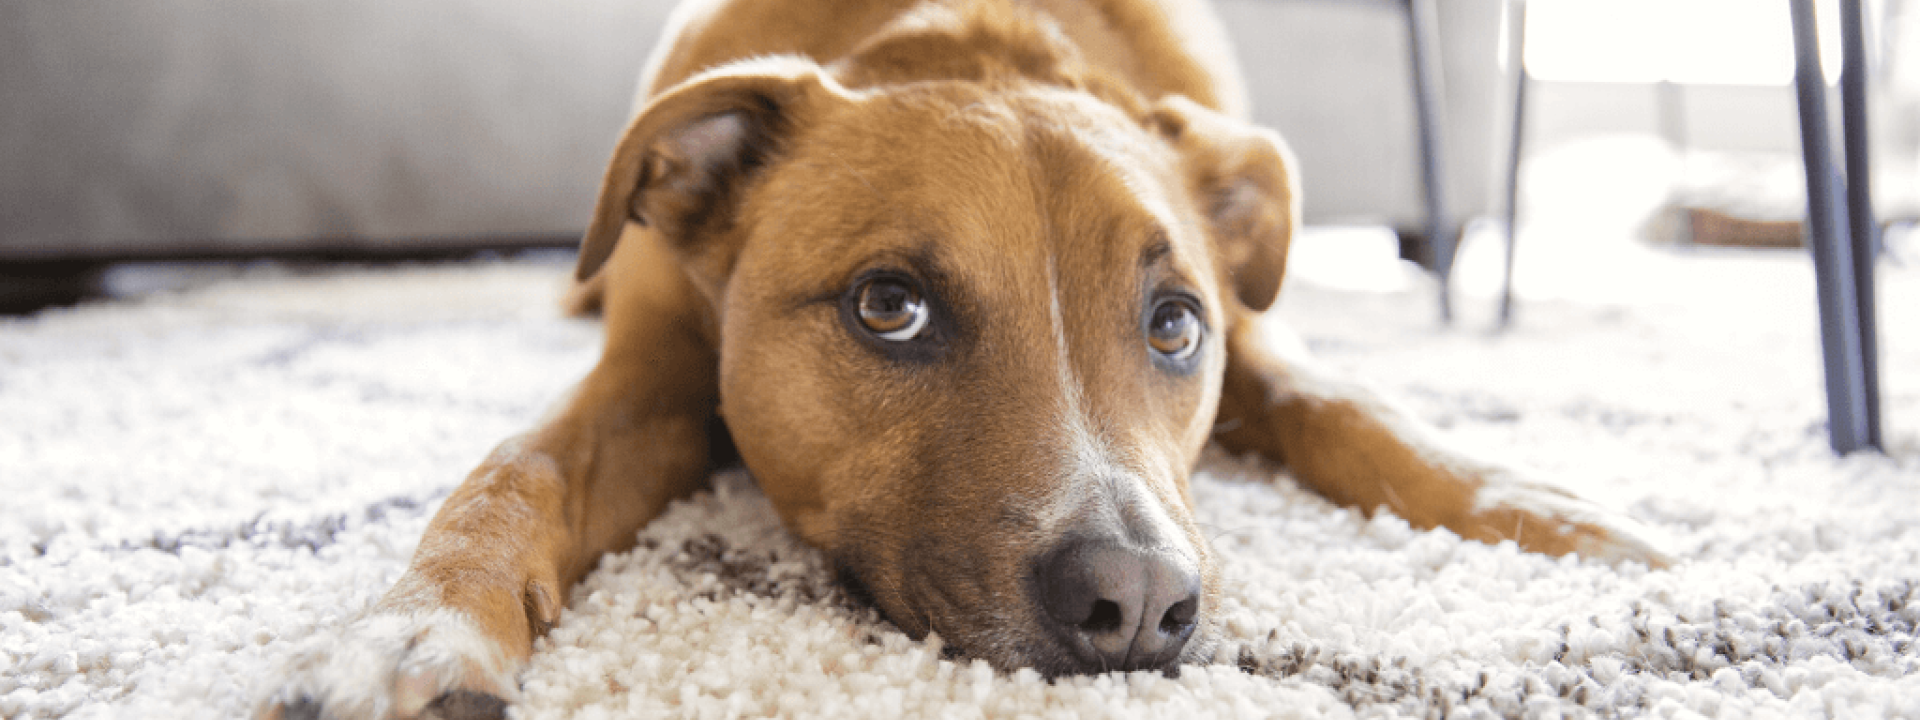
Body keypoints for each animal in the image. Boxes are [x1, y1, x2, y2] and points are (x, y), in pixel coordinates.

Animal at [259, 2, 1666, 718]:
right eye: (889, 306)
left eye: (1175, 325)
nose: (1137, 604)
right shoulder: (649, 371)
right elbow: (516, 470)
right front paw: (411, 629)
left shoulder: (1263, 335)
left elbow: (1349, 402)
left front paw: (1542, 511)